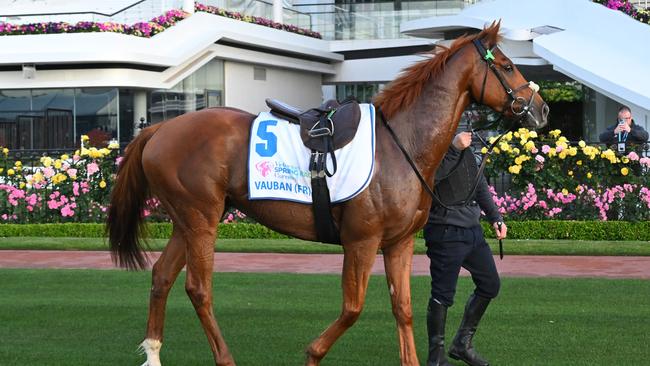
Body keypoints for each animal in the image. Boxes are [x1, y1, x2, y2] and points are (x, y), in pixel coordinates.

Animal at [106, 22, 548, 366]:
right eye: (508, 66)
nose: (541, 109)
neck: (400, 143)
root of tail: (160, 129)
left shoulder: (399, 243)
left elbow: (403, 309)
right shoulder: (361, 241)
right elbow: (353, 308)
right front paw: (313, 352)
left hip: (188, 220)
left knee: (162, 276)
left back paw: (154, 352)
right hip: (201, 219)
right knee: (198, 289)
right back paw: (224, 356)